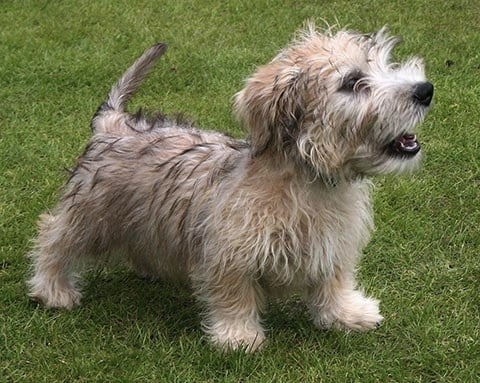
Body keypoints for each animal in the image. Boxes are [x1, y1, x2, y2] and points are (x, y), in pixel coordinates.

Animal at [26, 24, 434, 354]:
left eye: (385, 66)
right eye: (352, 82)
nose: (425, 90)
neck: (307, 184)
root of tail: (114, 124)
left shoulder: (333, 244)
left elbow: (333, 281)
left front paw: (345, 314)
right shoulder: (230, 255)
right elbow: (234, 295)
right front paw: (238, 336)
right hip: (90, 217)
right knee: (53, 237)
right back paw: (51, 288)